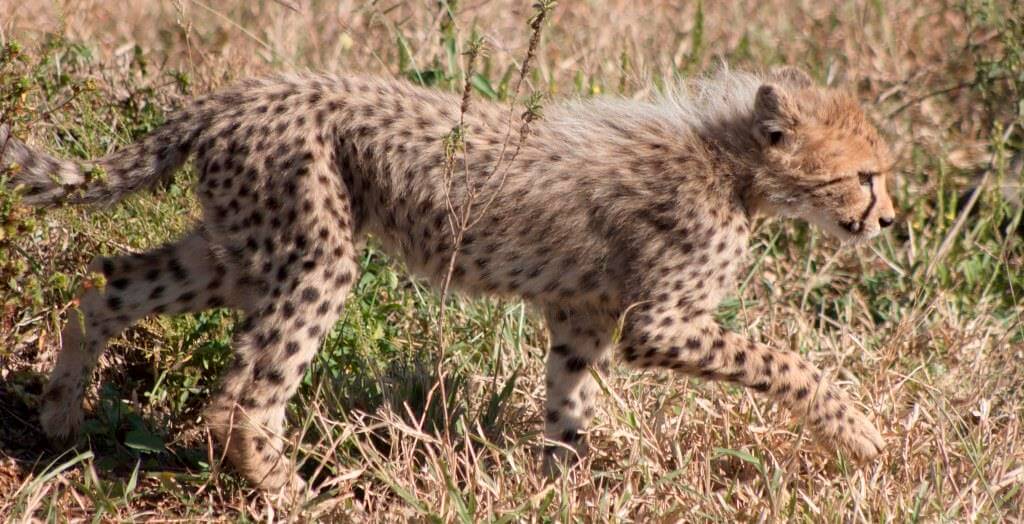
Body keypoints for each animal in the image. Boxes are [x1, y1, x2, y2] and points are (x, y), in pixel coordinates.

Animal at [0, 66, 895, 494]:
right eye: (866, 176)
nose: (889, 221)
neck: (735, 164)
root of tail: (231, 96)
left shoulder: (581, 315)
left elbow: (568, 406)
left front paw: (560, 485)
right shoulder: (658, 323)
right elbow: (789, 363)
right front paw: (858, 432)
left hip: (239, 250)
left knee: (106, 286)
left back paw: (61, 416)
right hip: (315, 256)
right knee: (241, 398)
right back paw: (291, 492)